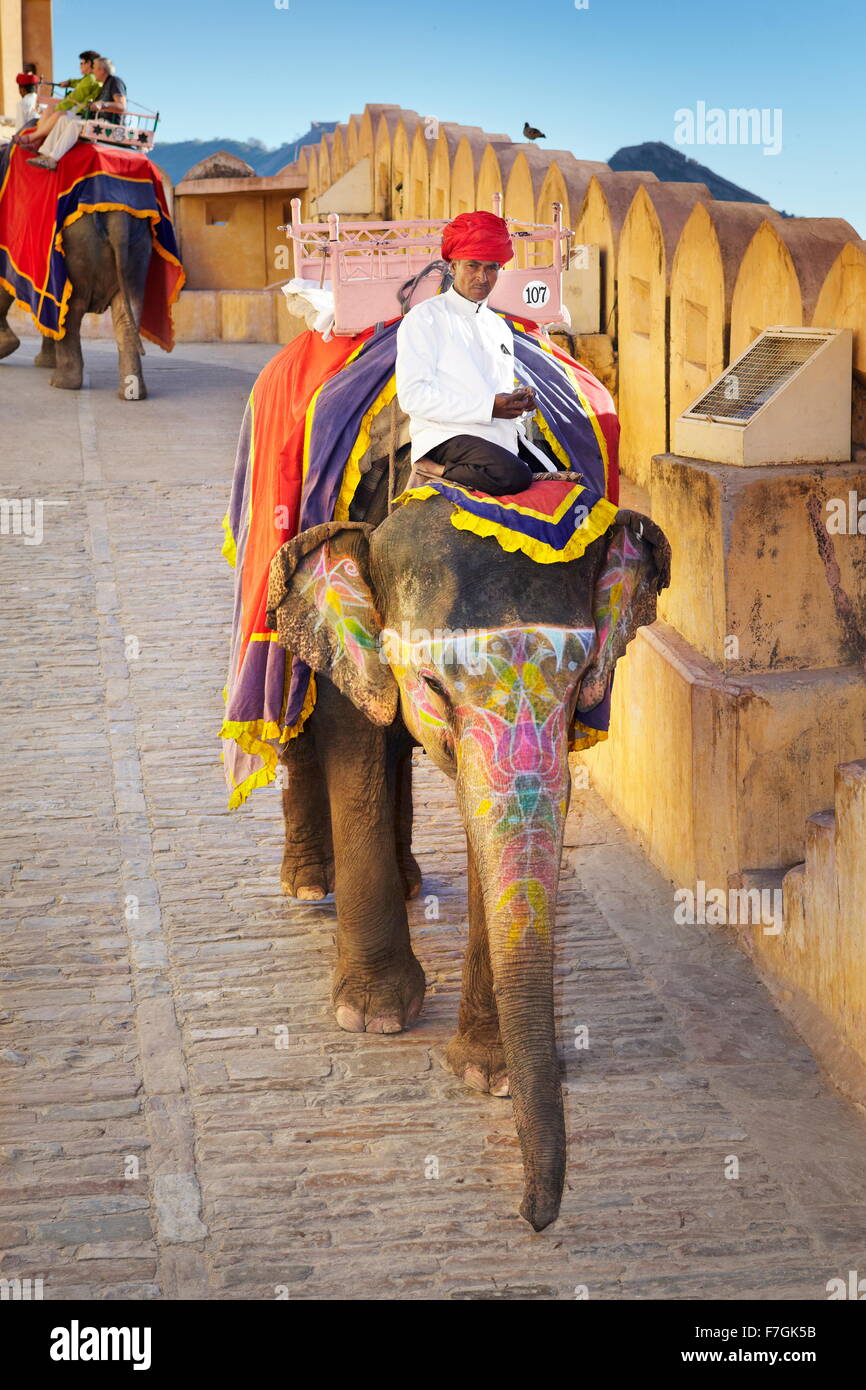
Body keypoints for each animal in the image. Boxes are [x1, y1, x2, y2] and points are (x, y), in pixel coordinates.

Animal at [0, 208, 151, 399]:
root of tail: (118, 218)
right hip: (138, 247)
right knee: (128, 308)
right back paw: (132, 394)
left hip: (77, 245)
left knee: (72, 309)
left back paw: (61, 384)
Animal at [266, 469, 670, 1232]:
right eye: (432, 684)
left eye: (582, 683)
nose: (530, 1215)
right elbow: (354, 733)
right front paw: (374, 1015)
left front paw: (492, 1073)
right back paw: (307, 882)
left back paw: (411, 879)